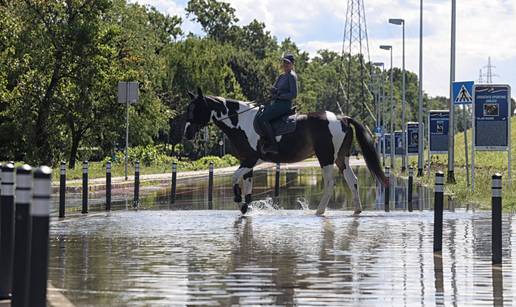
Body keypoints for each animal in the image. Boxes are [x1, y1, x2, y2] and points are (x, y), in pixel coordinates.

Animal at [183, 88, 390, 215]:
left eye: (196, 108)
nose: (187, 133)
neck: (241, 122)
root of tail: (342, 118)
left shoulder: (250, 159)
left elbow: (235, 178)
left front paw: (239, 201)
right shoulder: (247, 162)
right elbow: (247, 185)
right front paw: (245, 206)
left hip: (325, 157)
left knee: (330, 183)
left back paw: (319, 211)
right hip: (341, 158)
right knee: (352, 180)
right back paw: (357, 210)